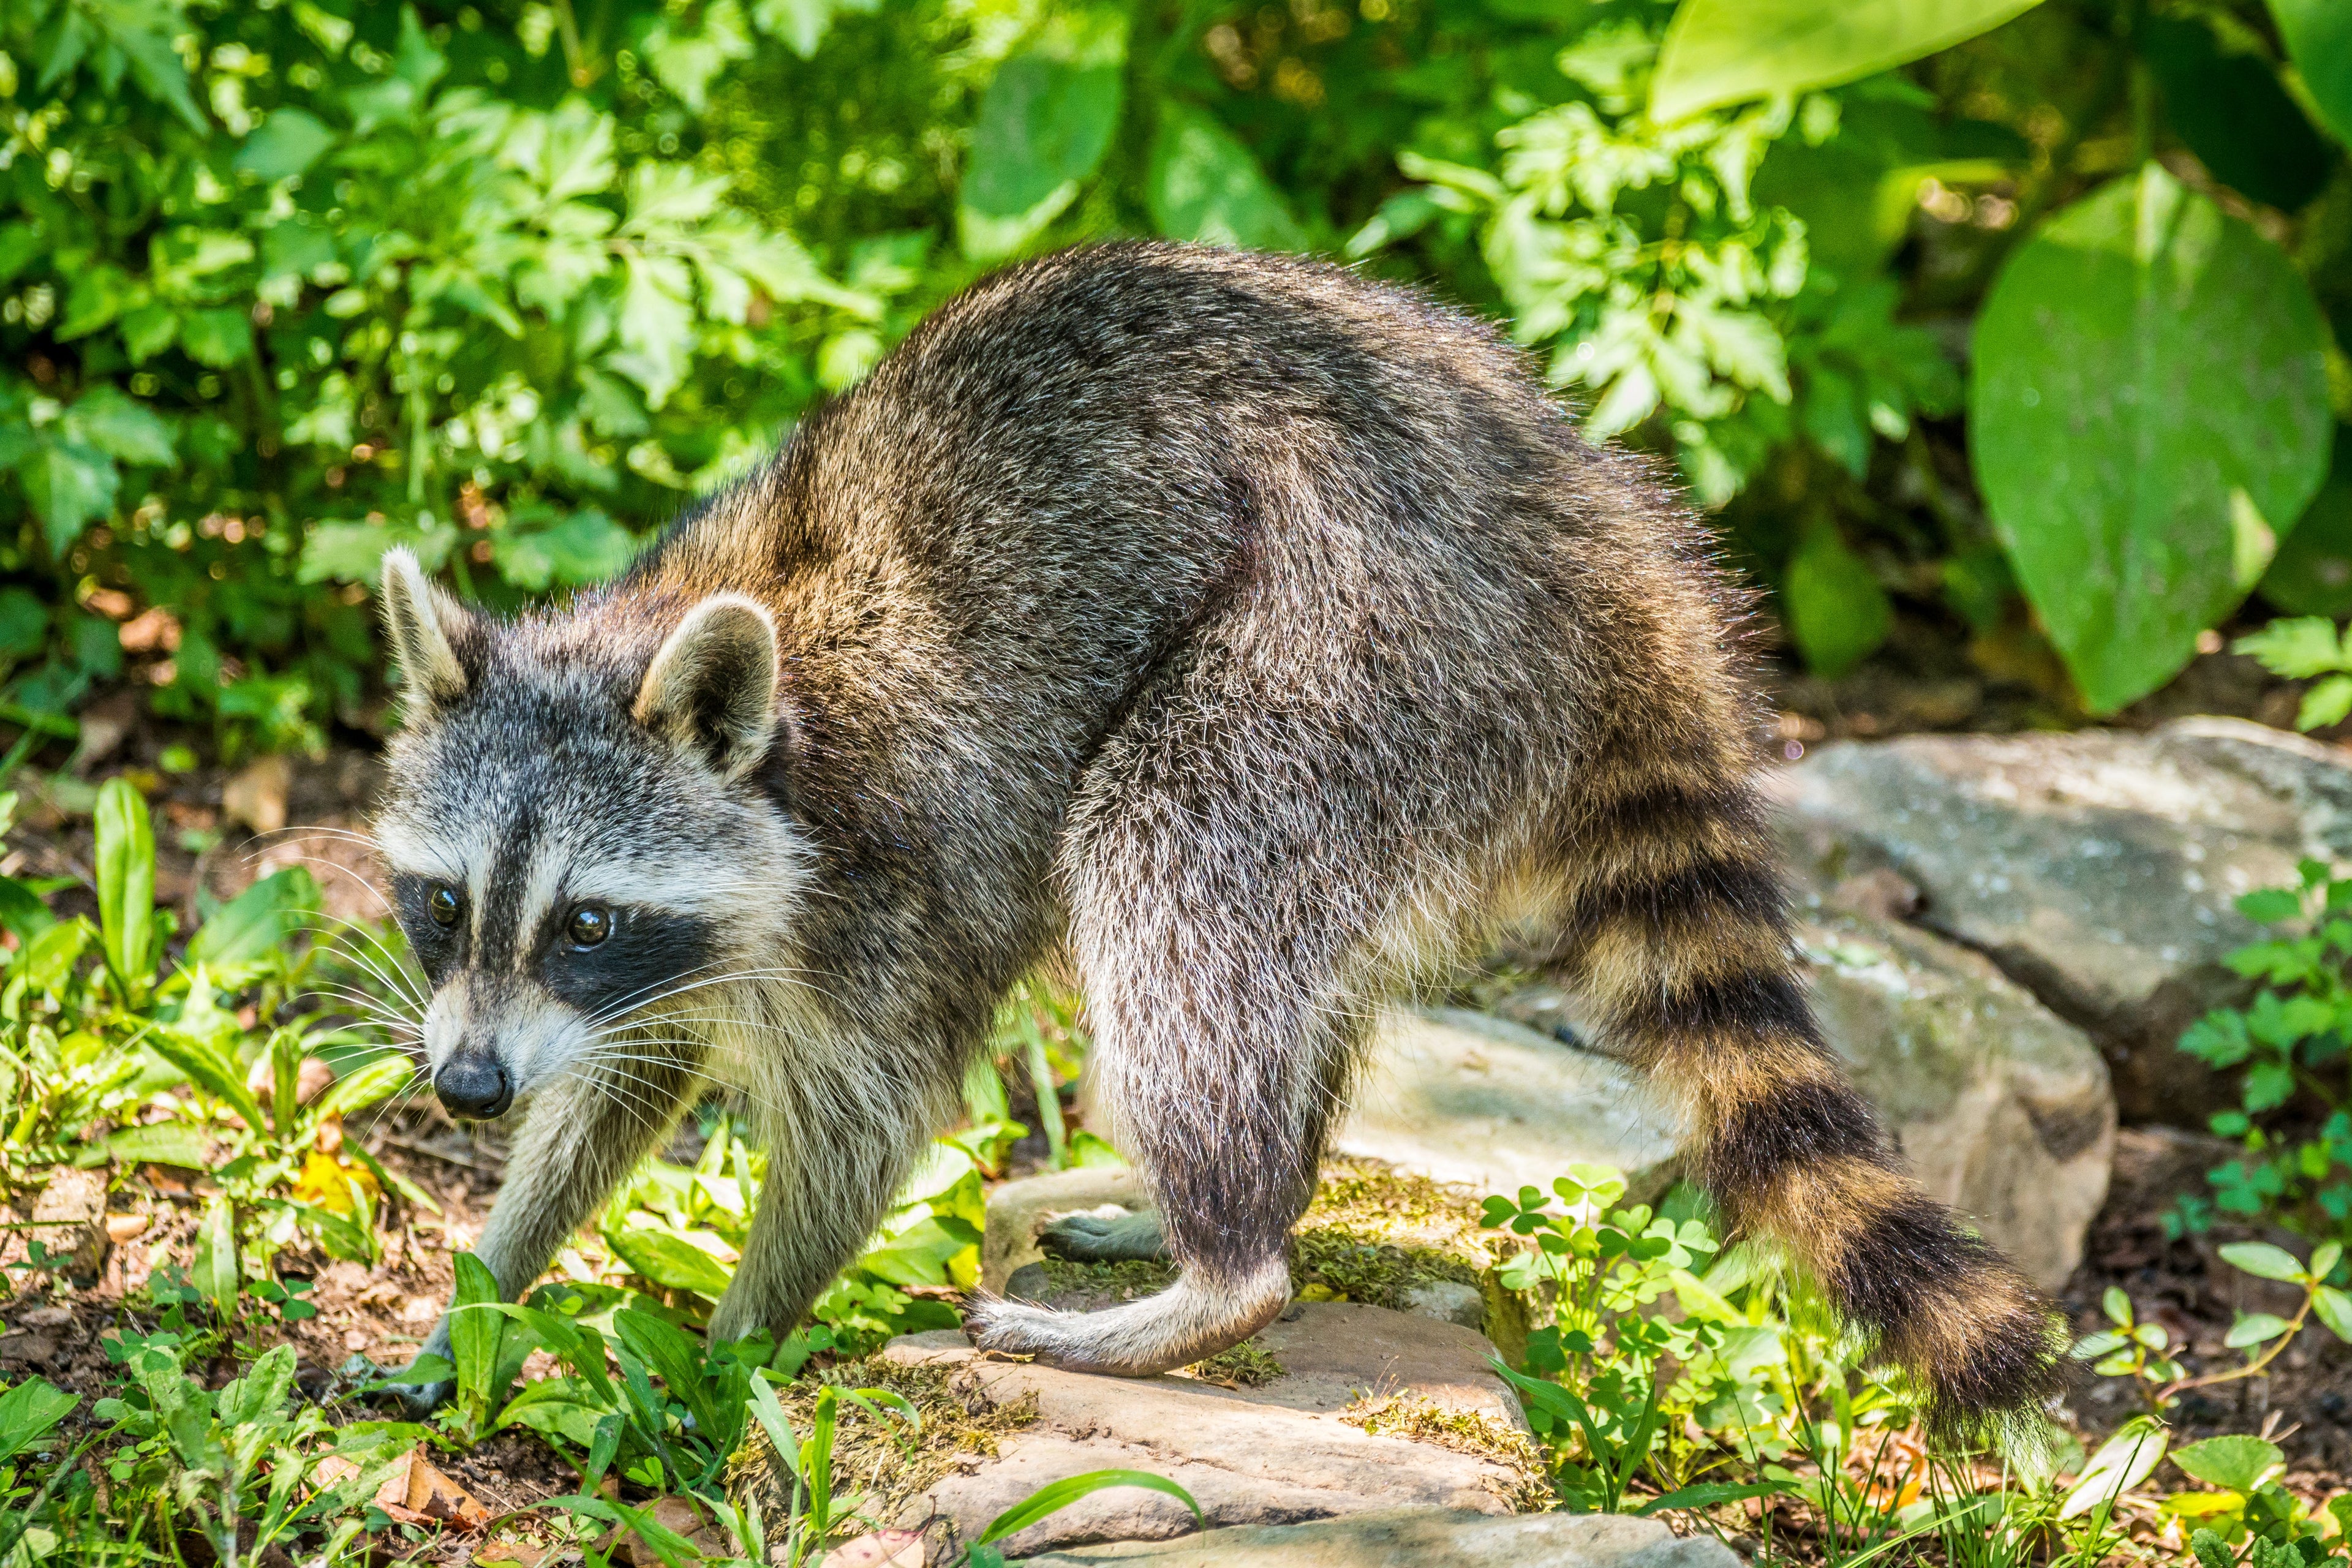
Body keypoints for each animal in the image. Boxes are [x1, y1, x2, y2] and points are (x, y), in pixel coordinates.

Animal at [374, 241, 2061, 1429]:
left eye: (584, 916)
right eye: (445, 905)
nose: (463, 1087)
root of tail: (1607, 546)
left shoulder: (894, 875)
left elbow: (866, 1123)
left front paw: (726, 1359)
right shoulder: (682, 952)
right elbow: (620, 1084)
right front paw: (487, 1283)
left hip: (1351, 645)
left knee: (1166, 860)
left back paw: (1225, 1268)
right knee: (1277, 960)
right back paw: (1247, 1197)